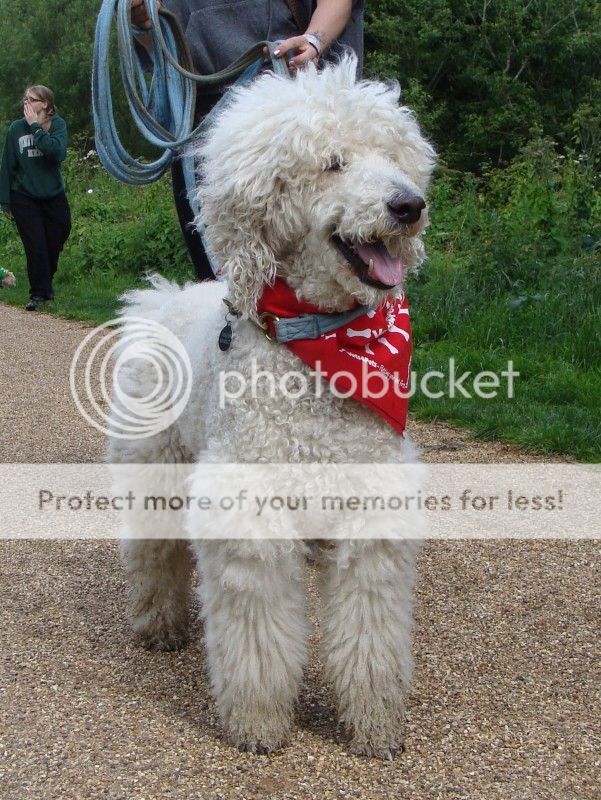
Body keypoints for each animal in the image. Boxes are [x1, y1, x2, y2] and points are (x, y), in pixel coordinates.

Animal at [109, 54, 436, 756]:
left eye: (395, 158)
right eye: (333, 162)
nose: (409, 204)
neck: (320, 342)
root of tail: (167, 300)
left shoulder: (372, 509)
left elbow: (369, 630)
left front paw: (374, 725)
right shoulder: (248, 507)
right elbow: (258, 636)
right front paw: (259, 724)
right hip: (152, 467)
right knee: (152, 553)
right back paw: (158, 623)